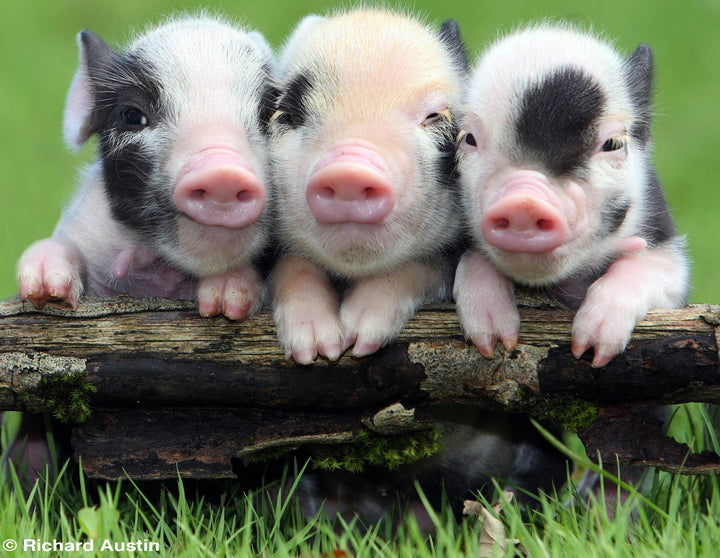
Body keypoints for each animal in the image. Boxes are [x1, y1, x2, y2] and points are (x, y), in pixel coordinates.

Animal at [9, 15, 276, 483]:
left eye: (269, 114)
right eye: (132, 115)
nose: (222, 171)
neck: (157, 275)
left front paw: (225, 302)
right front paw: (46, 290)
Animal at [267, 9, 467, 364]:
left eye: (434, 115)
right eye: (287, 113)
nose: (349, 170)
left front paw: (358, 338)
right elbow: (293, 264)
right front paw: (318, 349)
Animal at [453, 24, 690, 368]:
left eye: (613, 144)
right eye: (468, 138)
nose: (524, 200)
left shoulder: (667, 246)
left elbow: (653, 266)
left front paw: (591, 351)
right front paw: (493, 343)